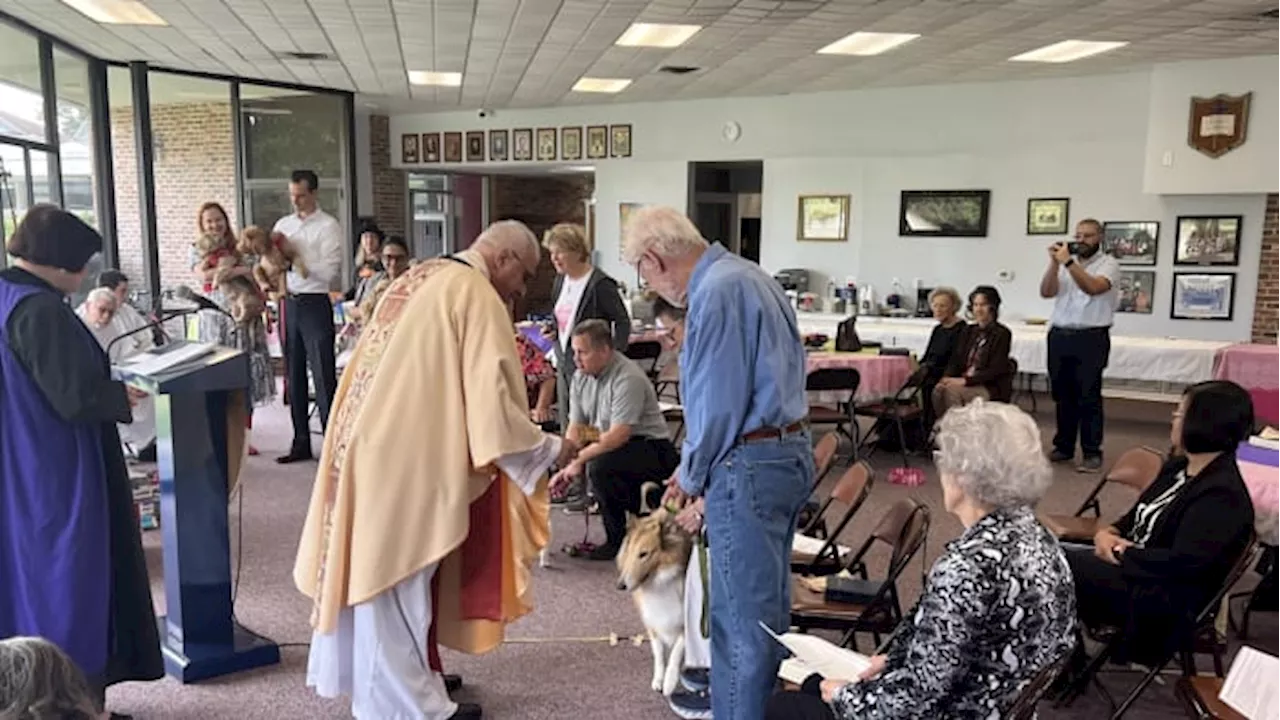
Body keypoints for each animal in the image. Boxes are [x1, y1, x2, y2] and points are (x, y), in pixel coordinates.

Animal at [616, 507, 691, 691]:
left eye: (644, 554)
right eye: (629, 551)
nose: (620, 585)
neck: (659, 581)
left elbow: (676, 651)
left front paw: (670, 682)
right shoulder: (652, 620)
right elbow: (658, 653)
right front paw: (658, 680)